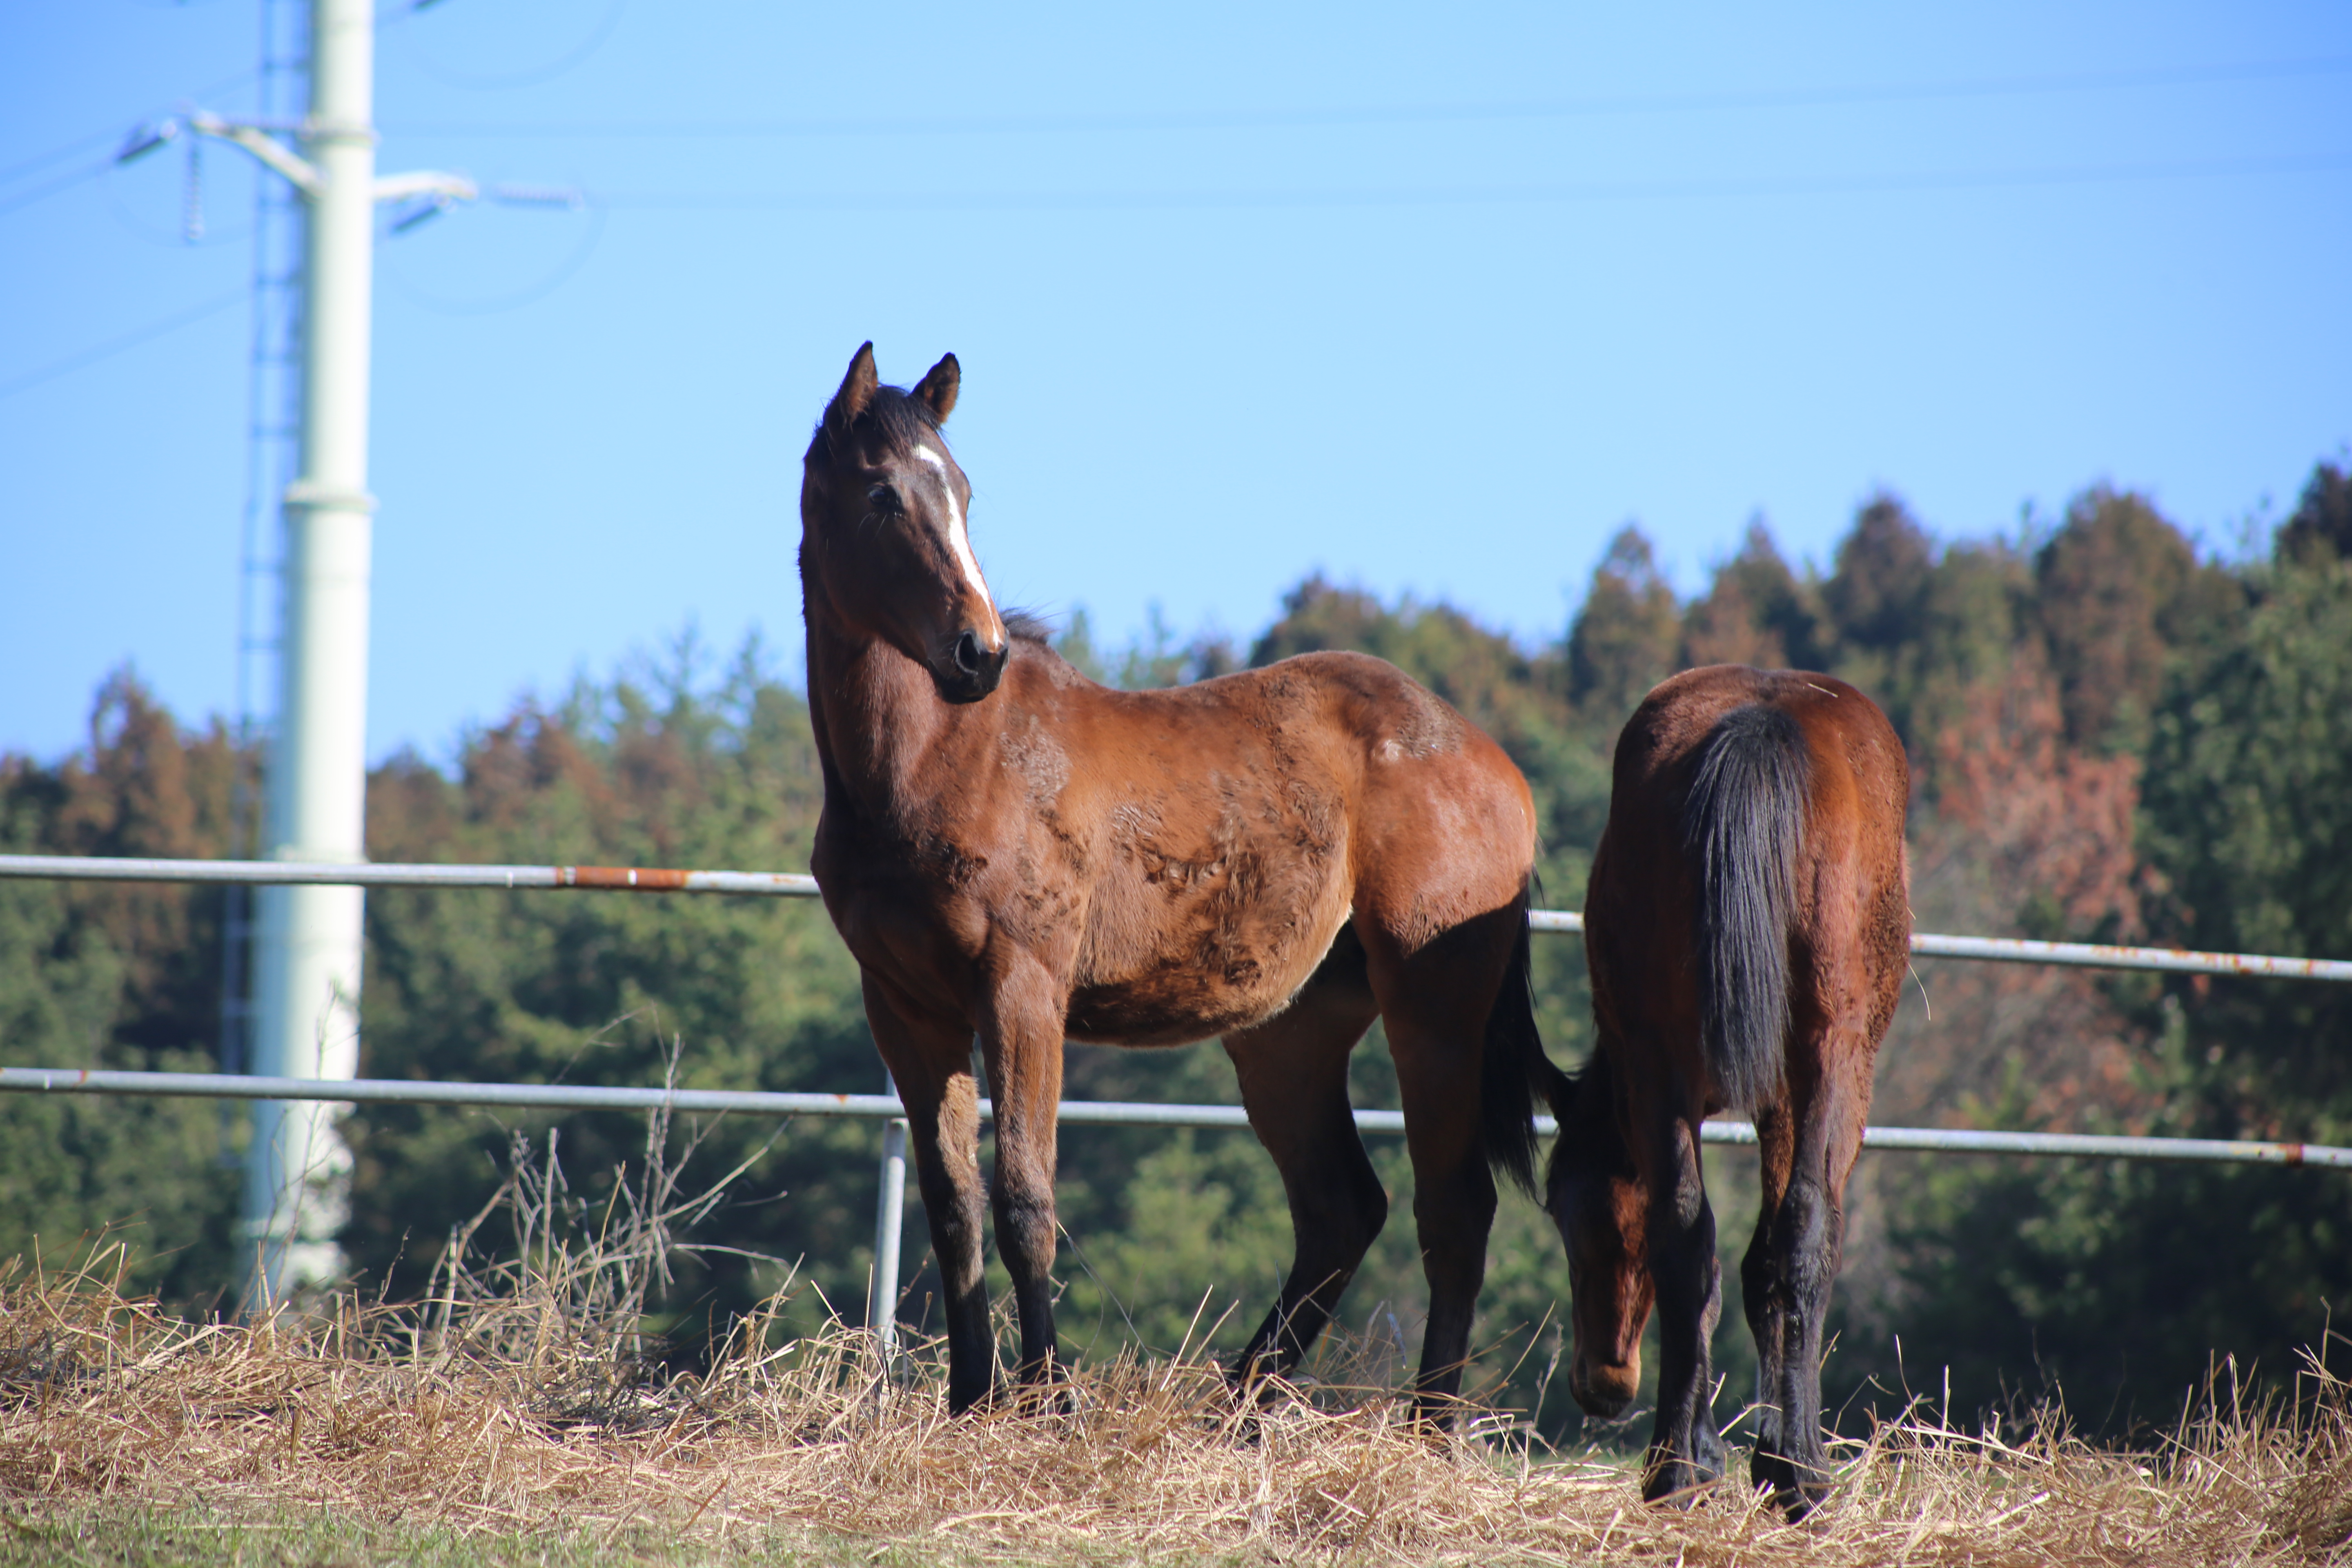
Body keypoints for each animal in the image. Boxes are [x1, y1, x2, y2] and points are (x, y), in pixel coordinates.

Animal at [795, 345, 1561, 1420]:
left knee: (1451, 1205)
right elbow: (952, 1207)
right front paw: (972, 1399)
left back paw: (1426, 1425)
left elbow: (1025, 1193)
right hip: (1288, 1033)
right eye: (880, 494)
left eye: (962, 492)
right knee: (1341, 1210)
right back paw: (1238, 1405)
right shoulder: (905, 1004)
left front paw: (1045, 1398)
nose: (977, 654)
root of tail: (1489, 759)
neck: (941, 760)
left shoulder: (1022, 986)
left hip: (1435, 1009)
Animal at [1543, 668, 1910, 1523]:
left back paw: (1680, 1468)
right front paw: (1774, 1450)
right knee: (1801, 1228)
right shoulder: (1788, 1093)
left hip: (1664, 1067)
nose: (1602, 1385)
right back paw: (1795, 1471)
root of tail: (1761, 724)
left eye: (1571, 1221)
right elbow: (1771, 1257)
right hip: (1832, 1057)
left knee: (1688, 1238)